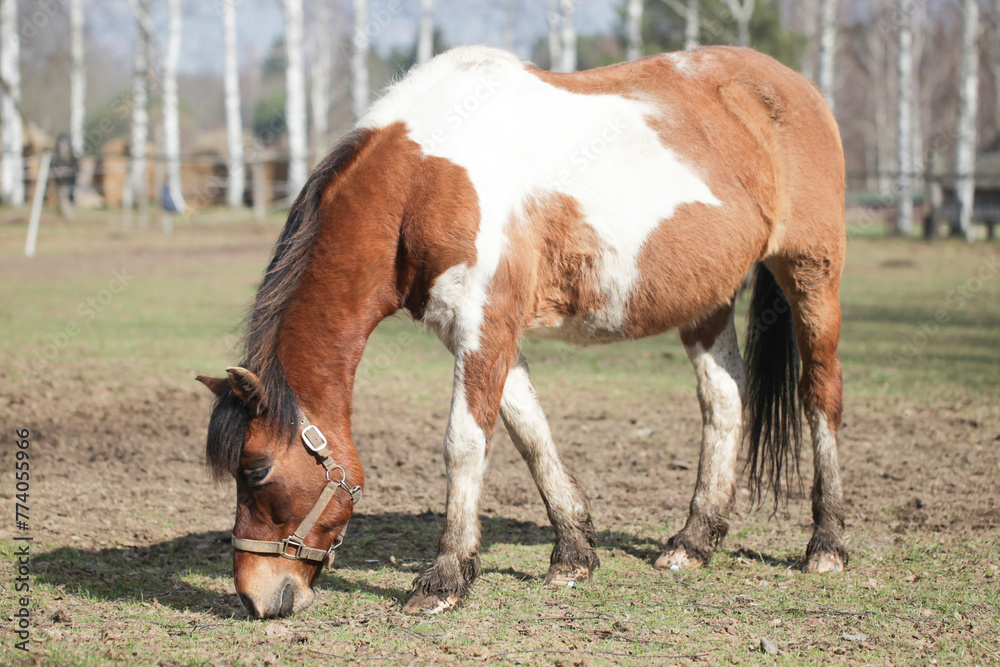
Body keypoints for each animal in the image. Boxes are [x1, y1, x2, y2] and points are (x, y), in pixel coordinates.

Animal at [197, 45, 847, 619]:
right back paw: (693, 541)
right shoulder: (485, 333)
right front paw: (574, 554)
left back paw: (827, 546)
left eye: (255, 471)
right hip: (706, 299)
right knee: (724, 398)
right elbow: (531, 434)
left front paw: (444, 578)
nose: (255, 597)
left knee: (820, 395)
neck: (424, 179)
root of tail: (797, 88)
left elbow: (465, 444)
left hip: (811, 275)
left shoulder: (483, 327)